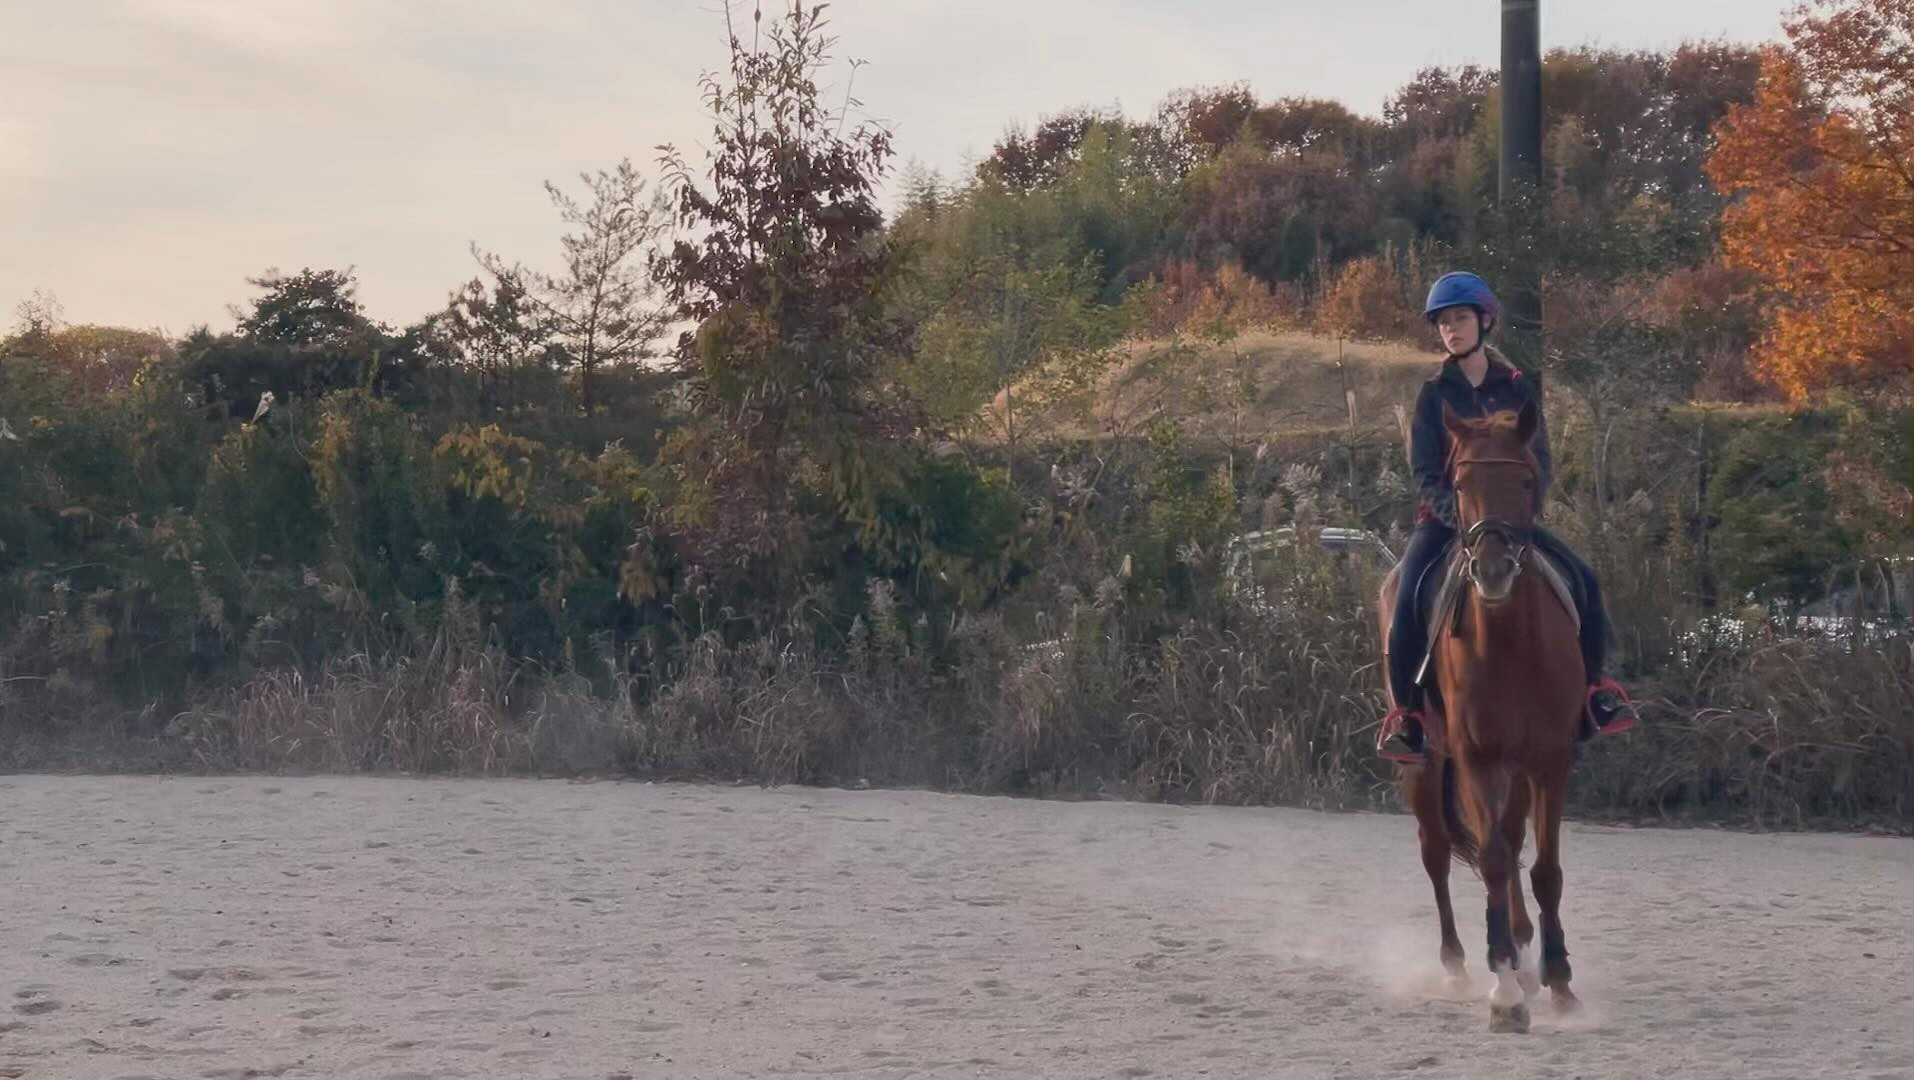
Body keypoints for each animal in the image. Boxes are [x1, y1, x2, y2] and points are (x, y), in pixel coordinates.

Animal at [1378, 400, 1584, 1034]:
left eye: (1525, 480)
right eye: (1461, 483)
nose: (1493, 569)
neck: (1508, 642)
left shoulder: (1548, 762)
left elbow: (1544, 870)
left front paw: (1558, 980)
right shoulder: (1474, 758)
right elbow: (1491, 861)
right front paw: (1505, 995)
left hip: (1511, 772)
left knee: (1512, 844)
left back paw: (1522, 951)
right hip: (1426, 763)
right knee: (1438, 852)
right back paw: (1459, 965)